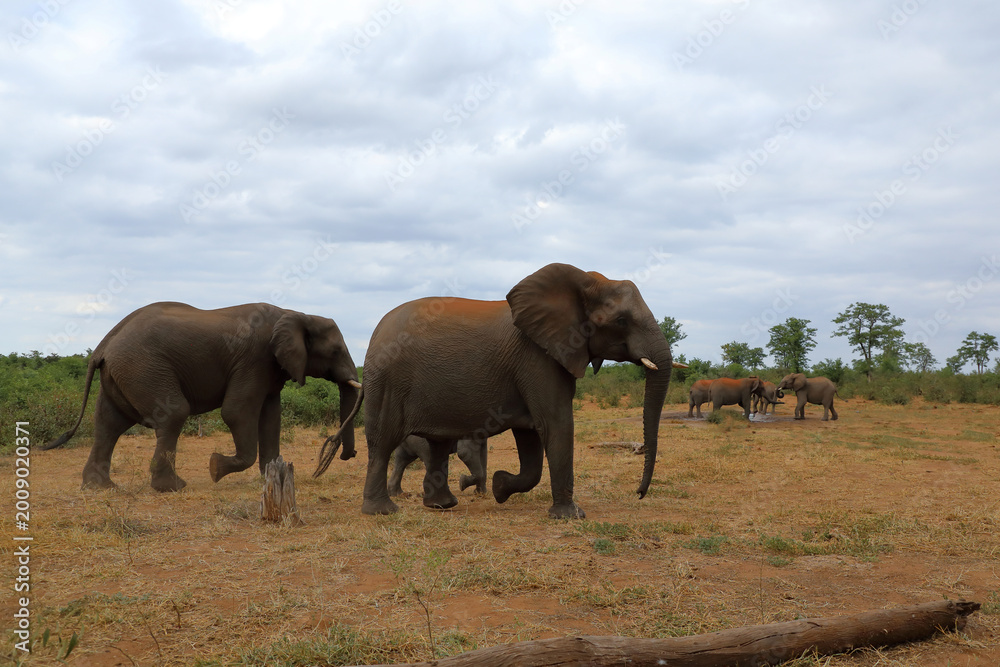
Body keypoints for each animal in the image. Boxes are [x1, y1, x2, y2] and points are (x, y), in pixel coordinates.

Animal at [44, 302, 361, 492]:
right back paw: (172, 487)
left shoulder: (270, 369)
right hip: (142, 367)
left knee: (108, 424)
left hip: (121, 374)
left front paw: (269, 476)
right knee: (173, 414)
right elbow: (235, 412)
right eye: (335, 351)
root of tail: (103, 345)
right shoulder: (254, 360)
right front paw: (215, 468)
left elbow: (271, 417)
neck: (296, 312)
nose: (350, 454)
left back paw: (100, 488)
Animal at [315, 263, 677, 519]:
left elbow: (531, 436)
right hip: (388, 381)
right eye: (621, 321)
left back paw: (442, 506)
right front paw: (571, 516)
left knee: (436, 443)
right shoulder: (537, 358)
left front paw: (500, 487)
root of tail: (374, 334)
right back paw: (383, 511)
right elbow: (555, 423)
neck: (585, 282)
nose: (639, 493)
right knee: (384, 441)